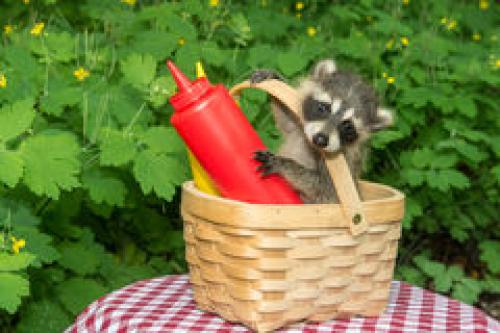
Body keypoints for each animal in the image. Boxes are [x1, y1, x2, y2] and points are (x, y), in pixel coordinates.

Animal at [252, 59, 392, 204]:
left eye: (348, 126)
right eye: (323, 108)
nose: (320, 139)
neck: (312, 145)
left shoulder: (344, 163)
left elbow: (323, 189)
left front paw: (283, 164)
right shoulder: (300, 129)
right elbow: (287, 121)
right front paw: (276, 78)